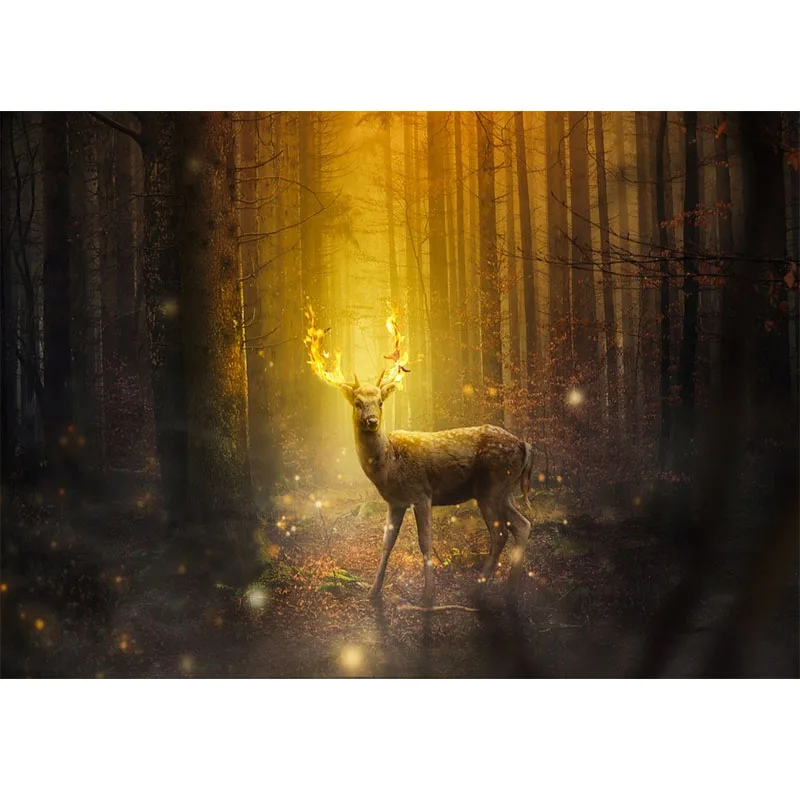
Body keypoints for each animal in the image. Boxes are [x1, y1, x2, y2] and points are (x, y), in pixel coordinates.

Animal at [305, 307, 536, 607]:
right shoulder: (395, 502)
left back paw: (478, 591)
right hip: (504, 491)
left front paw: (428, 596)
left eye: (380, 402)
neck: (389, 464)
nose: (371, 420)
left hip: (492, 486)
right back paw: (509, 591)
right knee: (523, 525)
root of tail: (524, 445)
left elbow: (424, 541)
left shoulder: (422, 493)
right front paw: (373, 591)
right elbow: (387, 543)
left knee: (500, 533)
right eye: (357, 403)